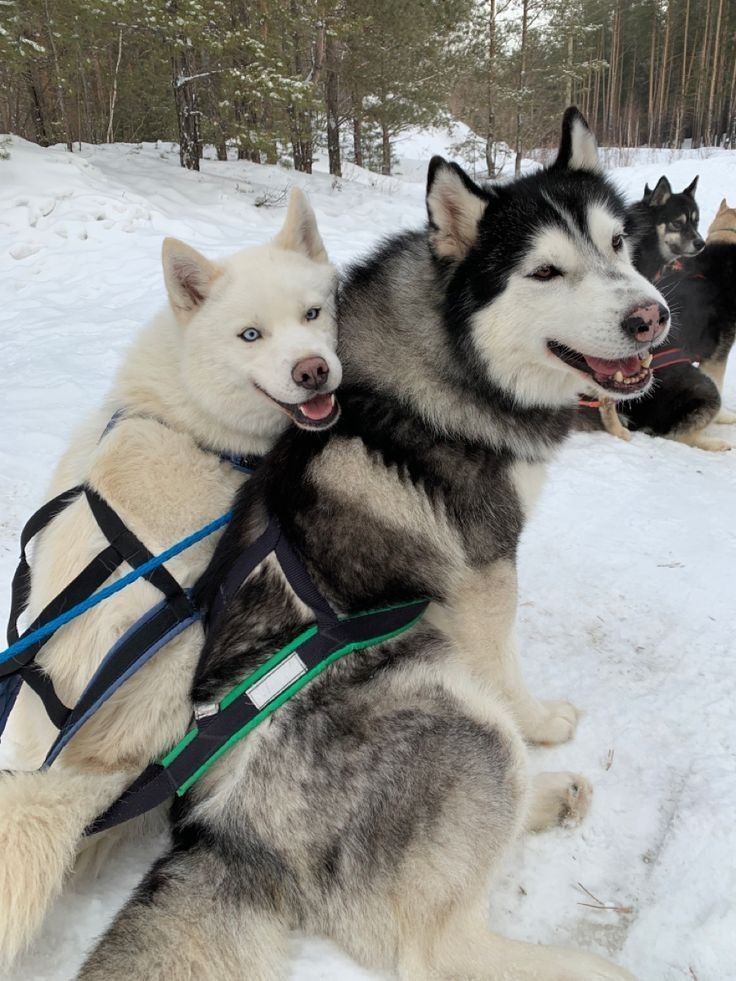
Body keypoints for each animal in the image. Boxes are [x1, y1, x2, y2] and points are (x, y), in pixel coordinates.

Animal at [76, 111, 668, 980]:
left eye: (620, 244)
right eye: (547, 272)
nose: (652, 317)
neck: (450, 355)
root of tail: (221, 827)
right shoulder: (485, 570)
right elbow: (510, 674)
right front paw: (542, 718)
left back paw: (550, 795)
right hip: (458, 713)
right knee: (439, 946)